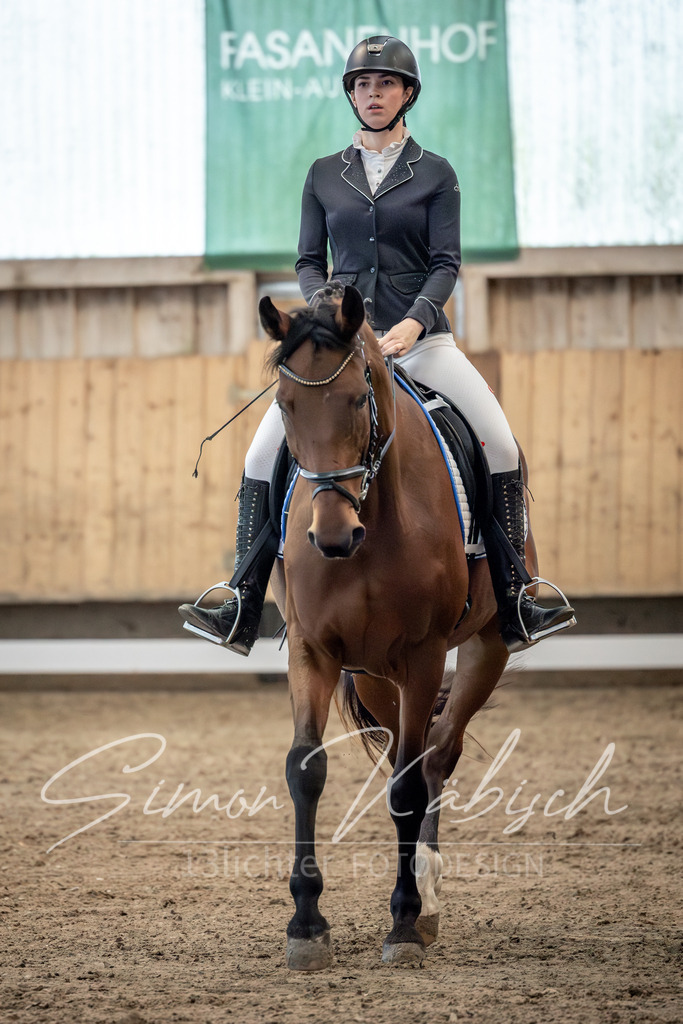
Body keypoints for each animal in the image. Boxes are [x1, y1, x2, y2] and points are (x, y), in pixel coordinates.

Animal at [260, 284, 532, 970]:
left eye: (358, 399)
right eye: (285, 405)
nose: (332, 536)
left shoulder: (422, 655)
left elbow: (409, 786)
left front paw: (404, 923)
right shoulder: (313, 651)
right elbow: (305, 769)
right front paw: (307, 926)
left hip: (483, 650)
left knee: (436, 752)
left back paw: (426, 899)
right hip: (372, 675)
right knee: (408, 752)